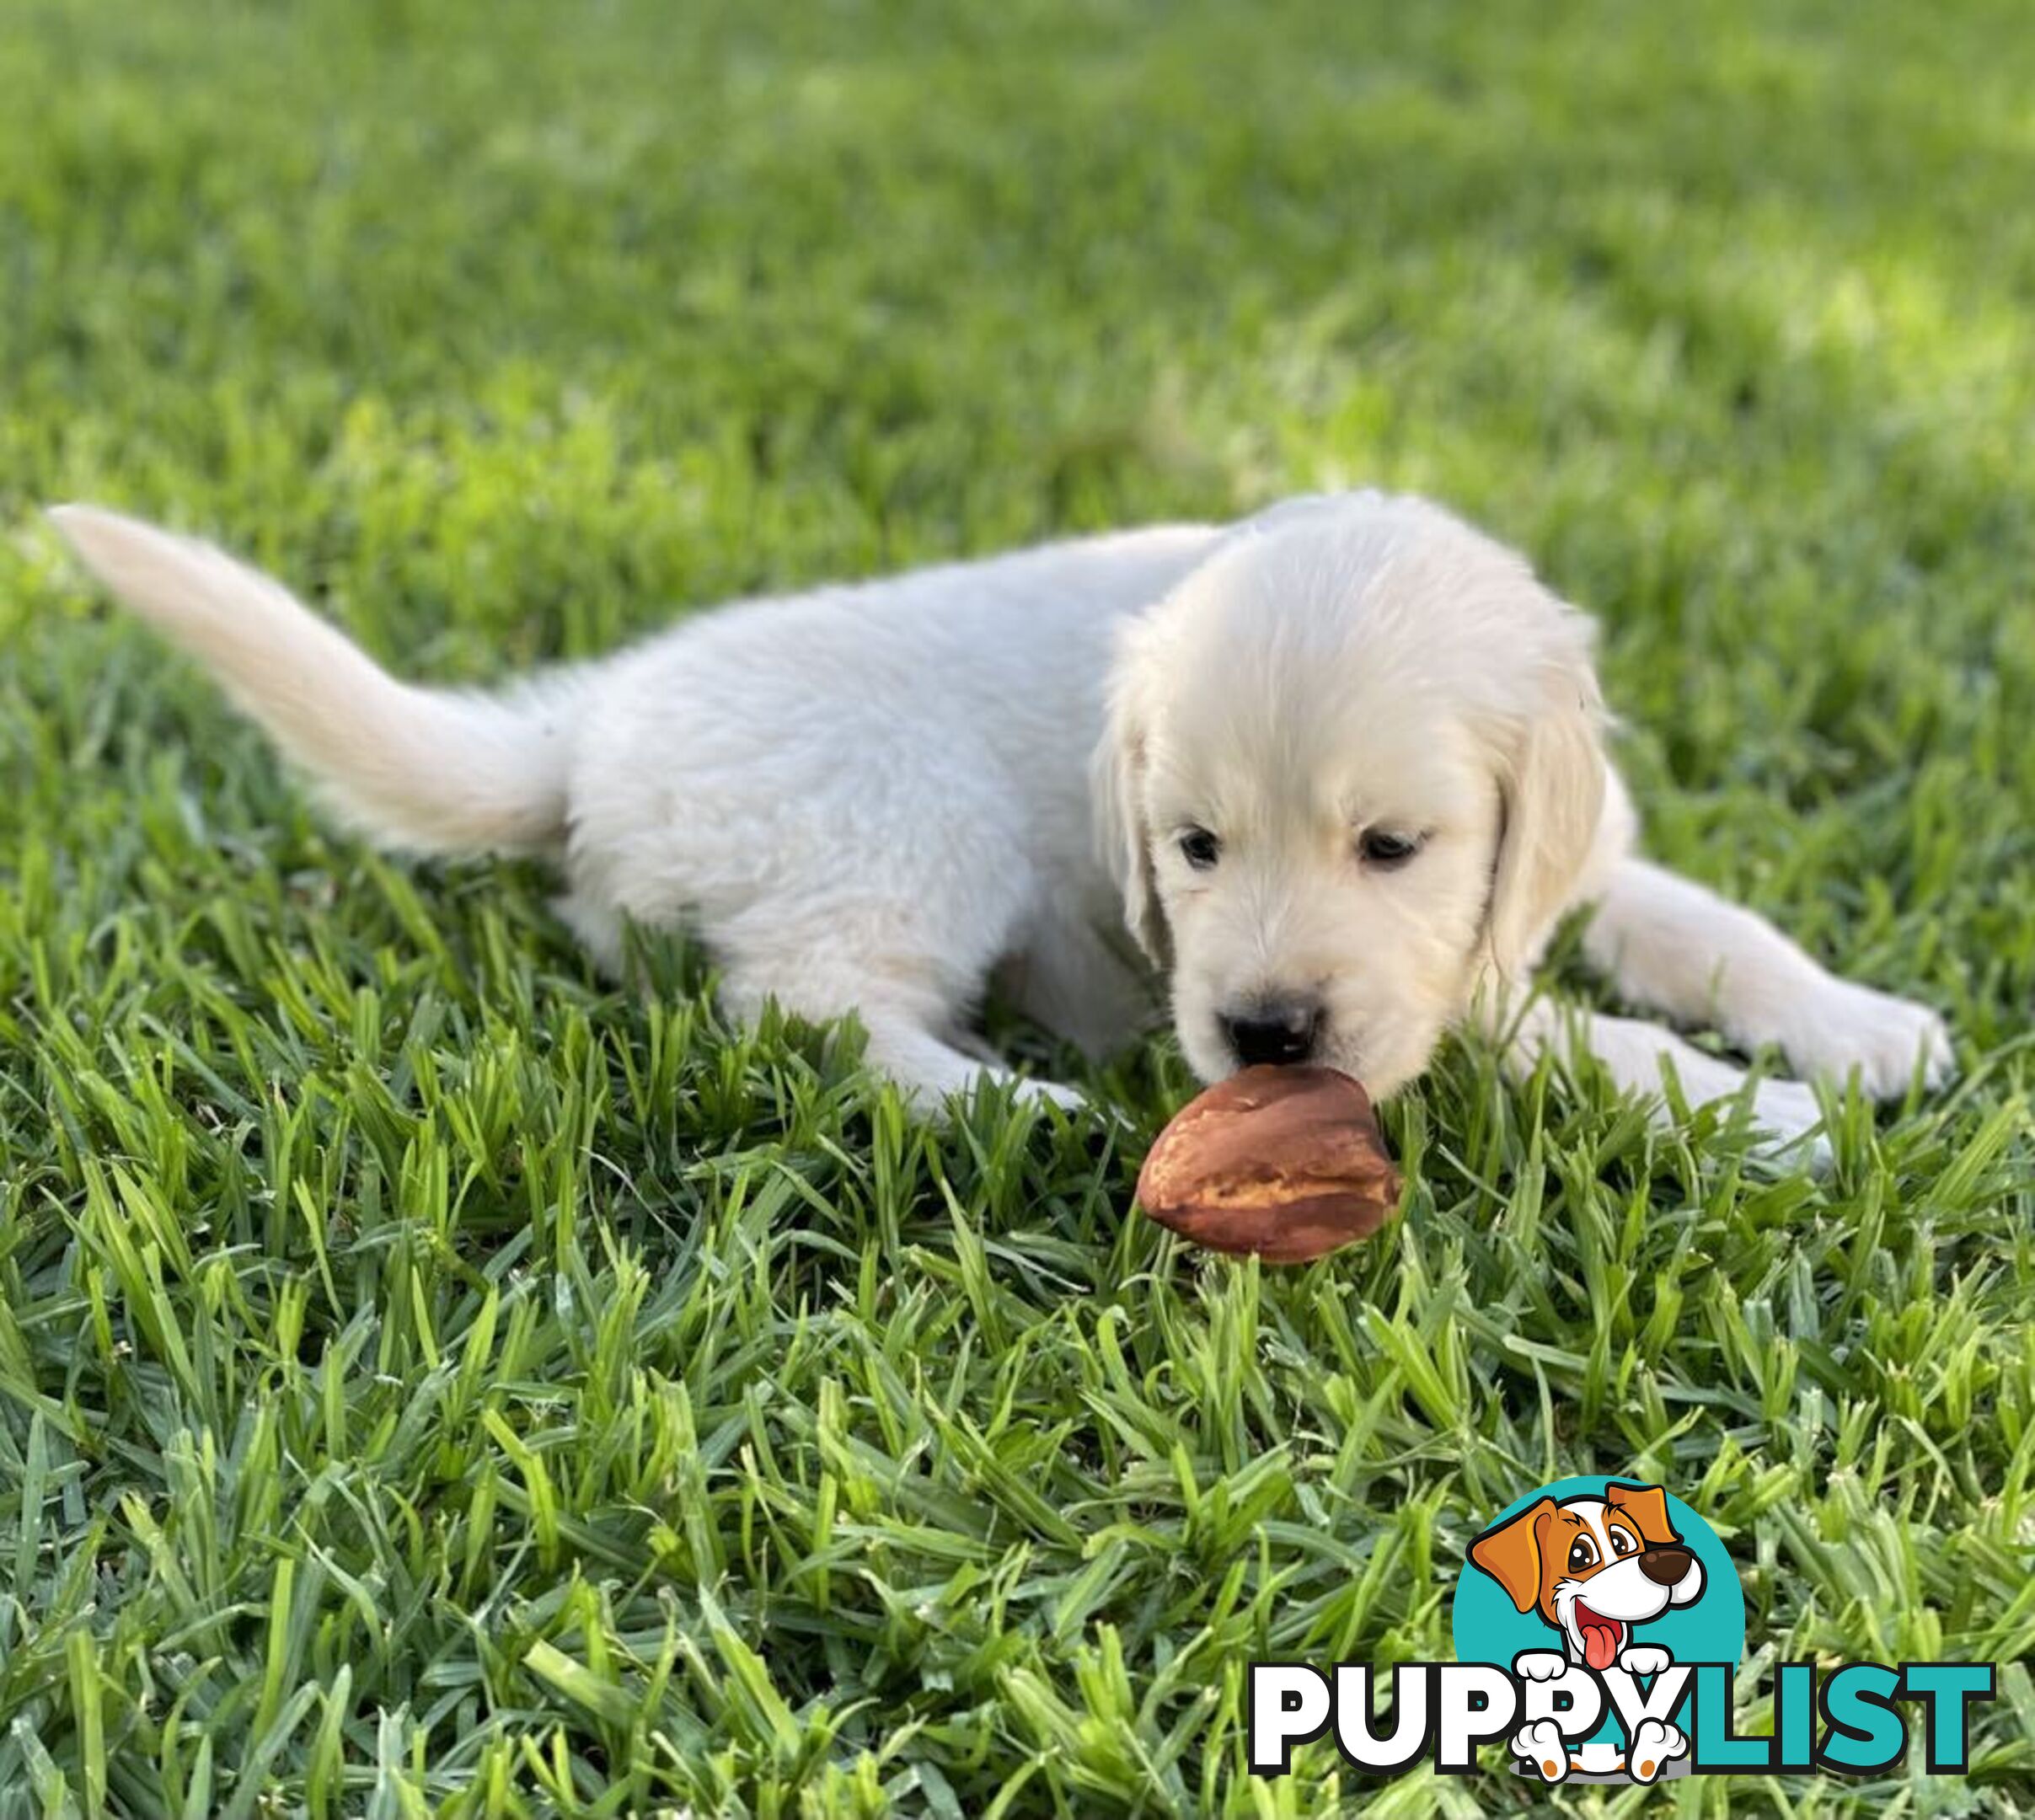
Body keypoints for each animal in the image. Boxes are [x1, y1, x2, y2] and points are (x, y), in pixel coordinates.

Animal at [51, 480, 1953, 1140]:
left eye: (1392, 847)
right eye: (1192, 849)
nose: (1262, 1040)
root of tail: (586, 735)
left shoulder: (1572, 861)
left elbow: (1715, 931)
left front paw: (1865, 1033)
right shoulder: (1435, 997)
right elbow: (1579, 1038)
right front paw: (1763, 1120)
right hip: (910, 824)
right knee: (798, 1011)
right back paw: (1014, 1105)